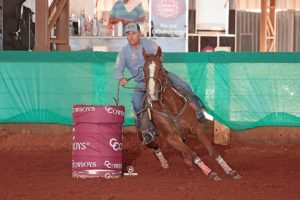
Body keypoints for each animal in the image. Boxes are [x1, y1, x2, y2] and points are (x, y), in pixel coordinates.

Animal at [140, 47, 241, 181]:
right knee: (156, 146)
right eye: (144, 70)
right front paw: (210, 173)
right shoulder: (171, 138)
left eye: (160, 69)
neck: (171, 109)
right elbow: (193, 154)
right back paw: (165, 163)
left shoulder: (196, 128)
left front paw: (230, 171)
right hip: (149, 139)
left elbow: (212, 151)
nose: (152, 94)